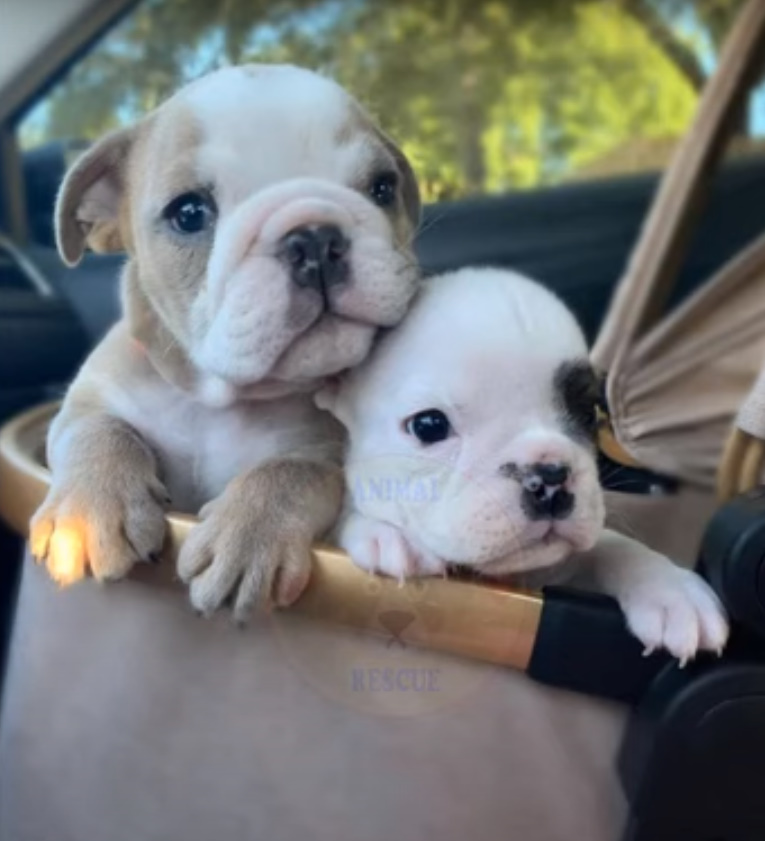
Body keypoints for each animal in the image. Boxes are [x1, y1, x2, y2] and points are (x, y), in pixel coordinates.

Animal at [32, 64, 420, 616]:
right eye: (189, 213)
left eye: (382, 188)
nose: (315, 237)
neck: (212, 400)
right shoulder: (86, 403)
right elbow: (99, 431)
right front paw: (89, 510)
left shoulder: (323, 451)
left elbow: (288, 471)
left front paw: (248, 536)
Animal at [316, 270, 728, 664]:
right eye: (429, 425)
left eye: (587, 413)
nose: (548, 478)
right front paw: (387, 532)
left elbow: (611, 545)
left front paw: (671, 587)